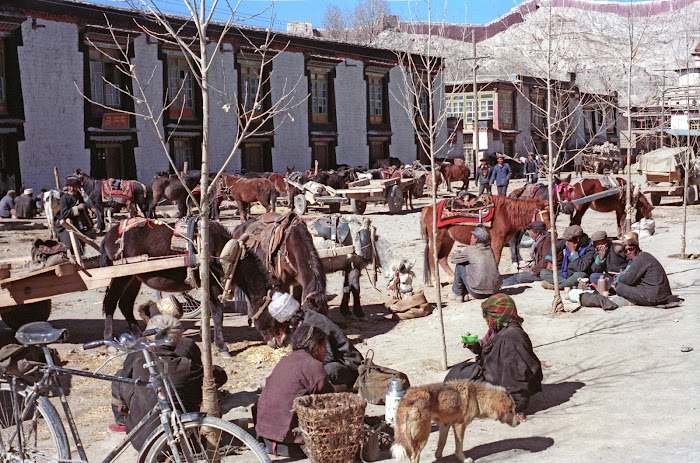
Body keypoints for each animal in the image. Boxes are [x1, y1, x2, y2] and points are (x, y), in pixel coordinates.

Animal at [98, 219, 284, 358]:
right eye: (273, 314)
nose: (280, 341)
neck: (224, 254)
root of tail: (110, 233)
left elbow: (210, 312)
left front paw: (207, 336)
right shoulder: (213, 285)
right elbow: (218, 314)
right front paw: (222, 347)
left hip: (134, 277)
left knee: (125, 305)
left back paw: (139, 339)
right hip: (120, 276)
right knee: (111, 303)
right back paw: (109, 343)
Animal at [418, 195, 548, 284]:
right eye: (546, 216)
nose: (548, 230)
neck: (506, 214)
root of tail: (429, 208)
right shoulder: (497, 241)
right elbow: (496, 258)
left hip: (448, 240)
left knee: (442, 258)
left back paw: (451, 277)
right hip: (437, 239)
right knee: (432, 256)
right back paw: (435, 281)